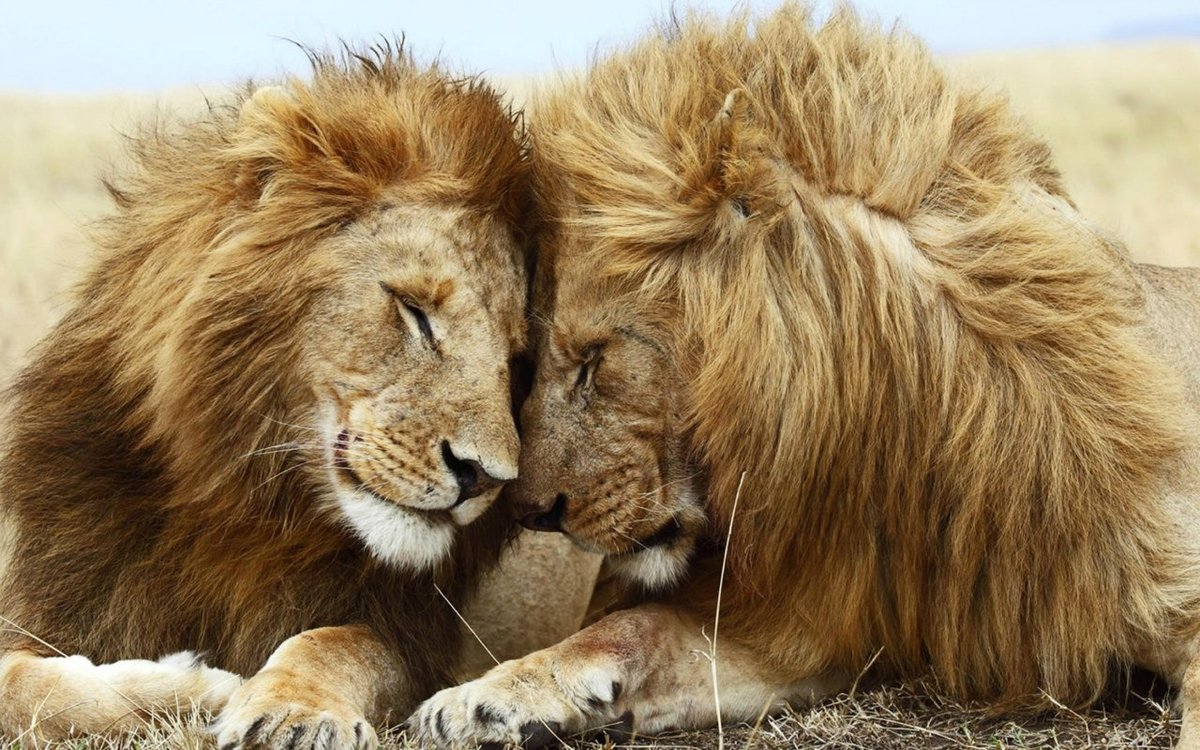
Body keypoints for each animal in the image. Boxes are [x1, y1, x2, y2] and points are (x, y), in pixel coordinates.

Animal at [0, 46, 564, 749]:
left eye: (516, 362)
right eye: (415, 312)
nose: (485, 478)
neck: (246, 501)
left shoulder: (410, 639)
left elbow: (334, 643)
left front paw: (292, 711)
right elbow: (20, 684)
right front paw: (185, 685)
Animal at [411, 6, 1200, 749]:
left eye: (595, 358)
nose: (528, 513)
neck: (907, 438)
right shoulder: (814, 623)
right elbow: (632, 629)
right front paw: (480, 698)